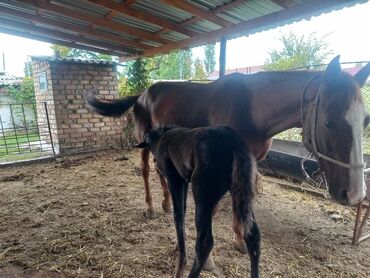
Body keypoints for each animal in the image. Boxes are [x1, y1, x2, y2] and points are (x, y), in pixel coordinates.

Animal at [137, 126, 262, 278]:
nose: (155, 162)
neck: (161, 137)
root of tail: (235, 143)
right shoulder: (184, 181)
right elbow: (183, 211)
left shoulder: (175, 179)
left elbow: (178, 216)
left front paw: (179, 266)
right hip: (240, 192)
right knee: (253, 235)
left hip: (203, 195)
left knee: (205, 243)